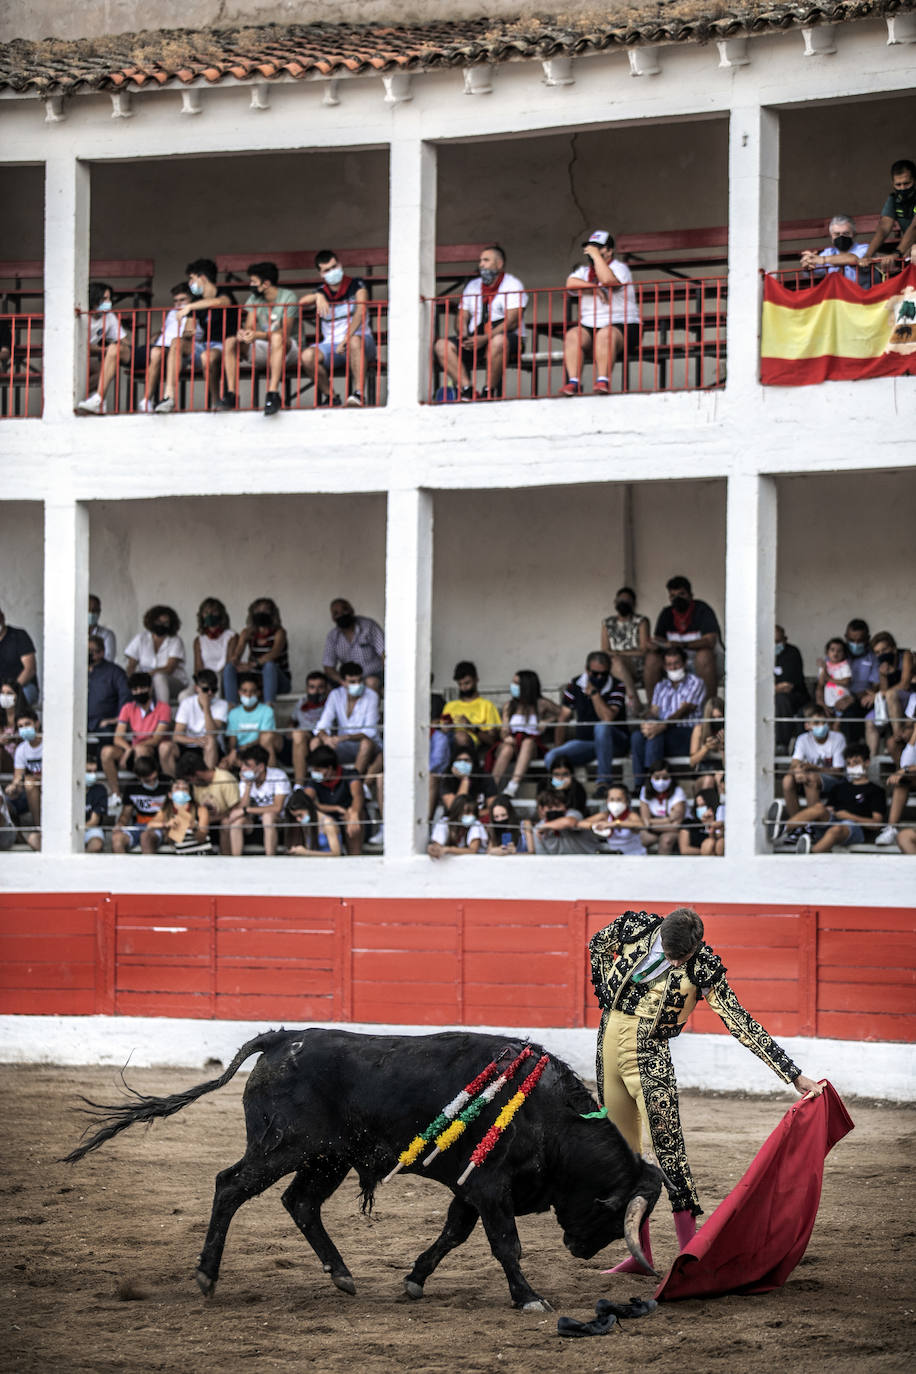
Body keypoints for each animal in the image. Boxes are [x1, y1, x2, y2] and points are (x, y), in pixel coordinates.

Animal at [66, 1033, 667, 1308]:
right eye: (616, 1214)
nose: (581, 1251)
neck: (548, 1118)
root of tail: (281, 1038)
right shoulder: (491, 1186)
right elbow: (505, 1244)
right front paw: (529, 1298)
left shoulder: (470, 1188)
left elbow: (453, 1234)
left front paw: (415, 1279)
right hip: (280, 1150)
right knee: (230, 1186)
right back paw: (207, 1276)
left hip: (325, 1159)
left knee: (300, 1203)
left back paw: (342, 1274)